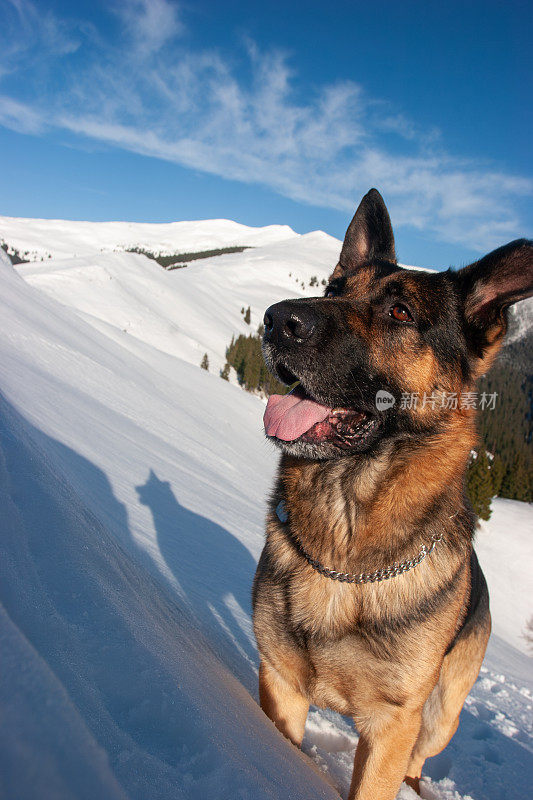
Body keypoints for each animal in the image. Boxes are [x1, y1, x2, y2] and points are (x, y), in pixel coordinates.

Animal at [252, 189, 532, 800]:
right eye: (333, 288)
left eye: (400, 312)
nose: (277, 319)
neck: (346, 551)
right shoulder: (281, 683)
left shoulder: (392, 726)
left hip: (440, 716)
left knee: (419, 758)